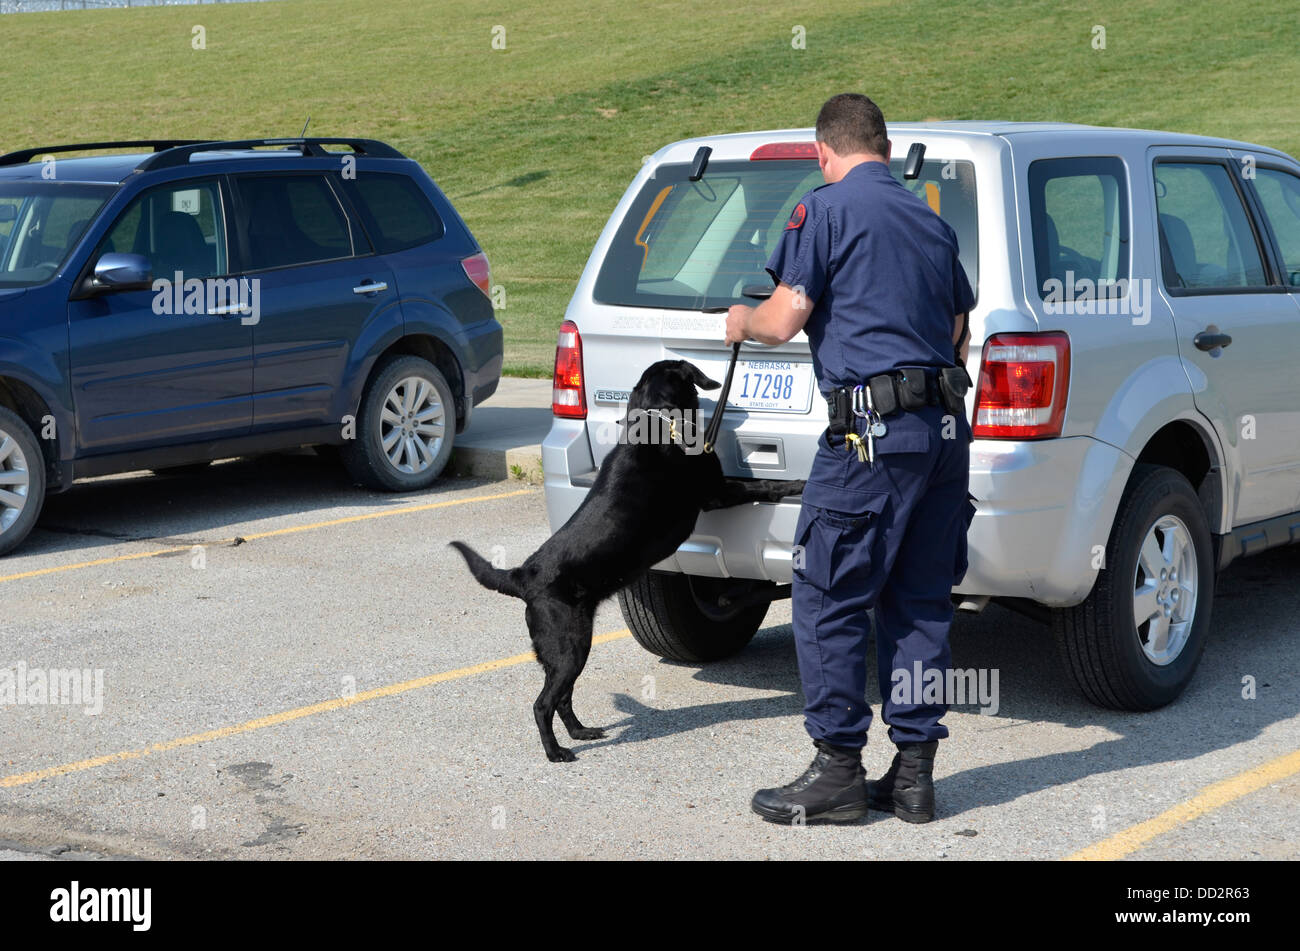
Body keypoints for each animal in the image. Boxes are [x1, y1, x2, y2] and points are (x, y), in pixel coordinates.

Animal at [454, 361, 800, 763]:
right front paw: (798, 485)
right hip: (569, 646)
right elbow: (766, 486)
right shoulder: (717, 492)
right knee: (543, 704)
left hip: (569, 648)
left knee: (562, 698)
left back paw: (581, 732)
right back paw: (556, 752)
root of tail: (523, 576)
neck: (655, 422)